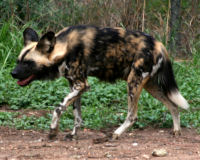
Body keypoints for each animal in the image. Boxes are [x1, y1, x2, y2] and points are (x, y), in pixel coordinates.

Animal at [11, 25, 189, 139]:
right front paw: (73, 135)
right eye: (18, 61)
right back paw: (176, 130)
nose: (12, 73)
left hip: (133, 83)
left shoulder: (81, 85)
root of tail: (159, 44)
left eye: (28, 63)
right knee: (173, 106)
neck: (64, 48)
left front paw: (53, 131)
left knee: (132, 116)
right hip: (149, 86)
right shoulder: (75, 86)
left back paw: (116, 134)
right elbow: (77, 115)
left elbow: (58, 108)